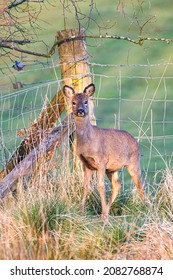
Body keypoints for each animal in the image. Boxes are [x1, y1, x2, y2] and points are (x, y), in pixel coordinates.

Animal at [62, 84, 145, 220]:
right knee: (117, 185)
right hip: (112, 169)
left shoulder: (101, 161)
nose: (80, 111)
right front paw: (81, 214)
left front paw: (103, 217)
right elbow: (85, 187)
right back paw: (105, 212)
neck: (88, 142)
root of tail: (135, 140)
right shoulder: (86, 164)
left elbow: (100, 186)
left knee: (139, 184)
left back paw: (146, 209)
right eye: (73, 102)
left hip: (133, 162)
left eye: (86, 101)